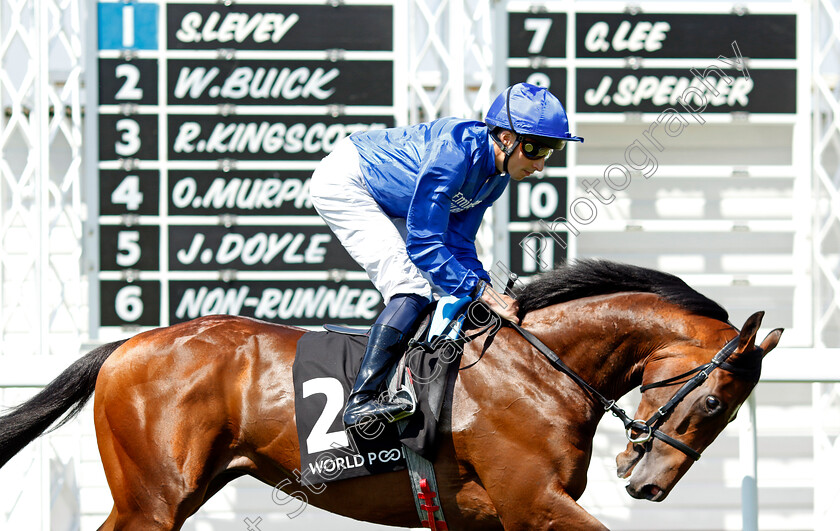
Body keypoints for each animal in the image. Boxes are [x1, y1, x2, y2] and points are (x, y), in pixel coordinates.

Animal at [1, 260, 780, 528]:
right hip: (153, 498)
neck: (541, 371)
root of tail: (122, 348)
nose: (648, 484)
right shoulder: (533, 503)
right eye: (716, 405)